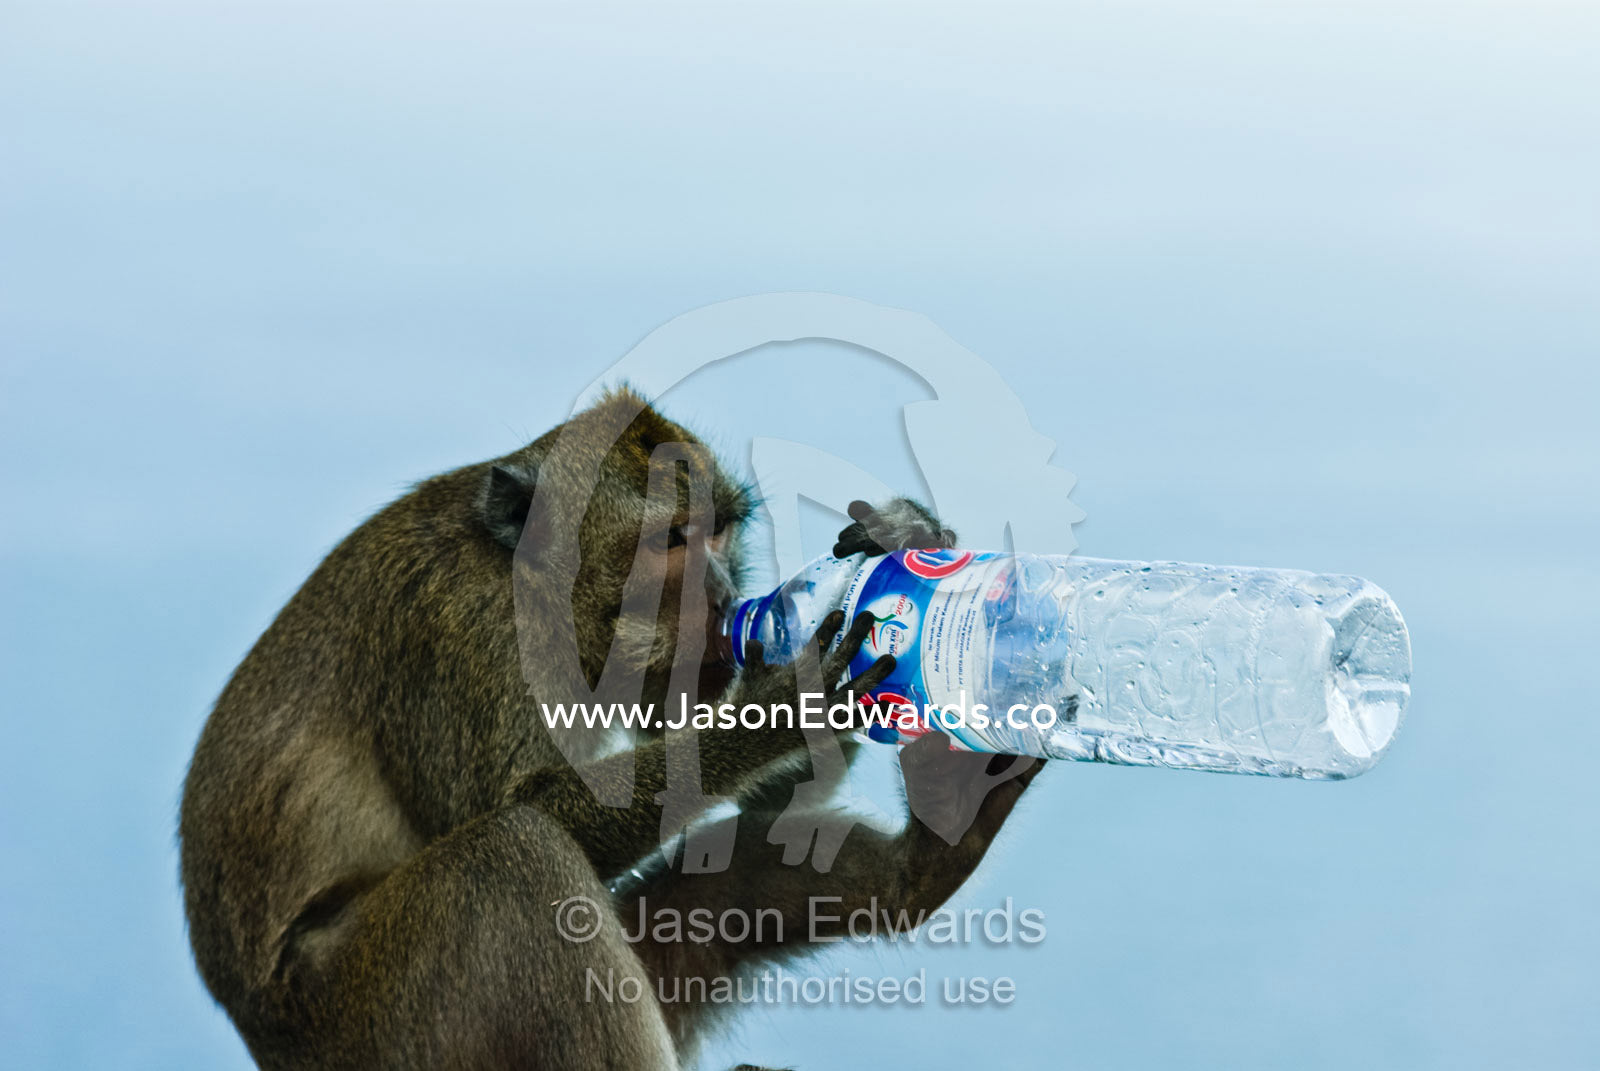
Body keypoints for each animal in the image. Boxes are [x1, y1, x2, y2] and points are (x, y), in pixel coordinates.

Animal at [180, 386, 1042, 1070]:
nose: (723, 591)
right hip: (377, 1022)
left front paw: (906, 538)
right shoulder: (462, 627)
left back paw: (925, 857)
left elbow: (774, 801)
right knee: (509, 854)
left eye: (720, 530)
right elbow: (519, 807)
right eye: (668, 542)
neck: (530, 580)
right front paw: (782, 703)